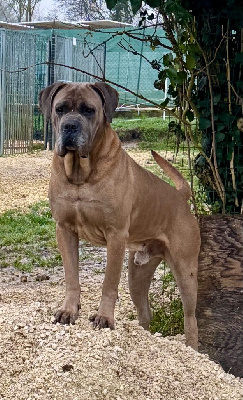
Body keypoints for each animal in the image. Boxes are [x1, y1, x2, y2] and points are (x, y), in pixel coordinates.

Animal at [39, 82, 200, 350]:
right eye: (60, 109)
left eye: (89, 110)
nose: (70, 126)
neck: (80, 174)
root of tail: (180, 196)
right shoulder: (64, 229)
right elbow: (71, 276)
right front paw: (68, 311)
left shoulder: (115, 236)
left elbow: (109, 282)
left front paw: (104, 317)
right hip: (138, 274)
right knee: (145, 311)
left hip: (186, 272)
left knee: (191, 318)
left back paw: (192, 350)